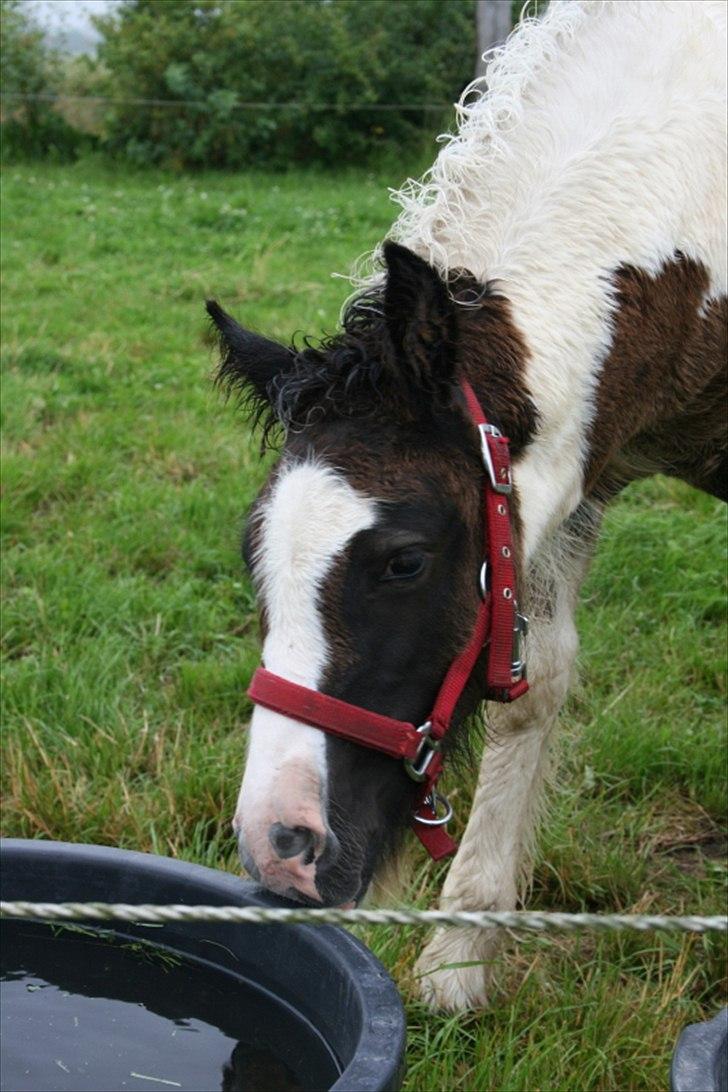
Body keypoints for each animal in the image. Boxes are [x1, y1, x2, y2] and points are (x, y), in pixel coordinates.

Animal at [207, 0, 724, 1013]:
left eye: (404, 560)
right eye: (255, 553)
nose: (280, 847)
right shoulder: (576, 474)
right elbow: (539, 680)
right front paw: (458, 959)